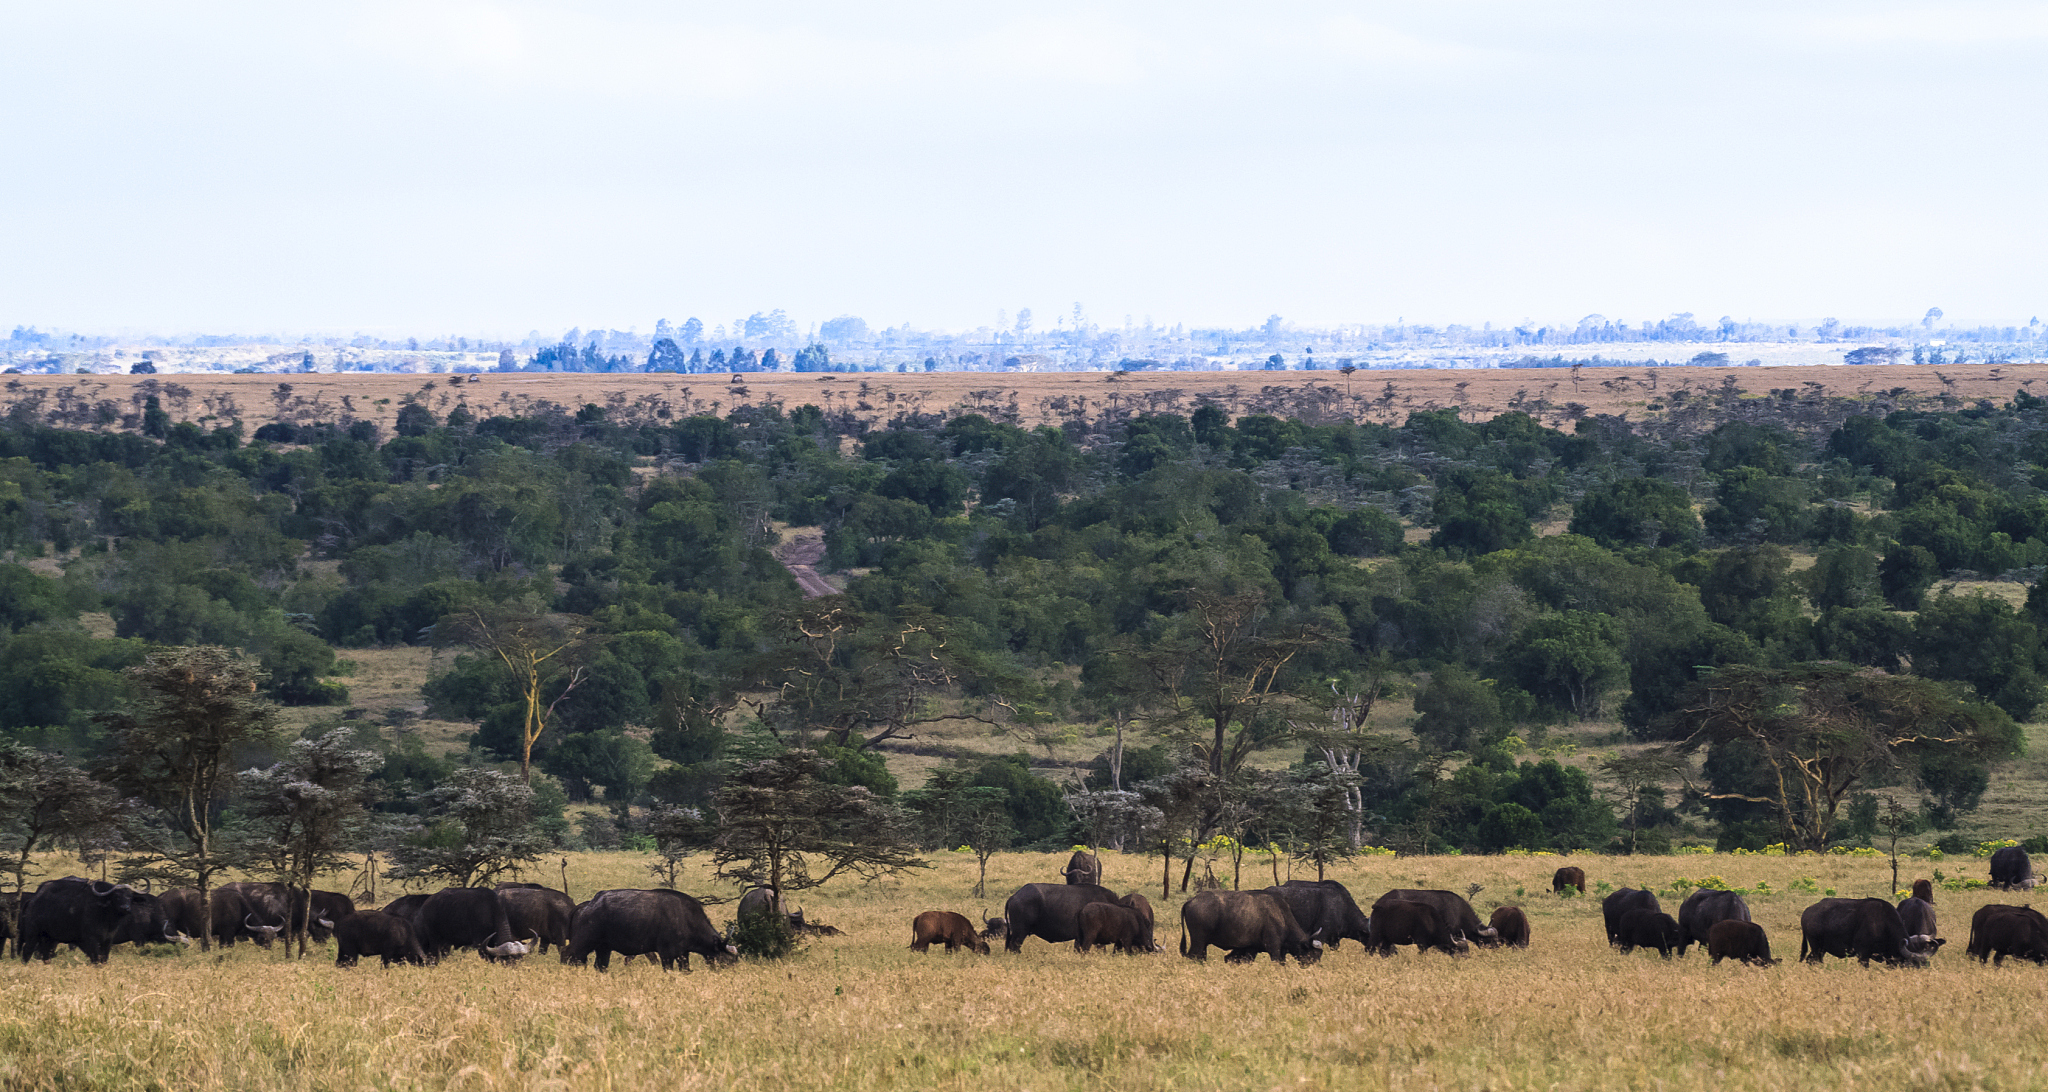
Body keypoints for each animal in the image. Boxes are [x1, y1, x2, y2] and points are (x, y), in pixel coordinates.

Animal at [563, 888, 738, 972]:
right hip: (583, 944)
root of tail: (586, 905)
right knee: (569, 957)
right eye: (726, 962)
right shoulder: (666, 954)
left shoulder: (683, 954)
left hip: (604, 948)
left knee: (600, 966)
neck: (686, 918)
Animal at [1180, 889, 1324, 964]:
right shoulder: (1274, 949)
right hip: (1198, 942)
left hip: (1203, 945)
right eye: (1313, 954)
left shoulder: (1249, 949)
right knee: (1193, 956)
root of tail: (1190, 901)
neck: (1281, 915)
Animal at [1799, 897, 1935, 966]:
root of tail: (1807, 912)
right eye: (1911, 964)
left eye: (1924, 965)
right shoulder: (1863, 955)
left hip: (1820, 949)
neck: (1883, 923)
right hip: (1816, 947)